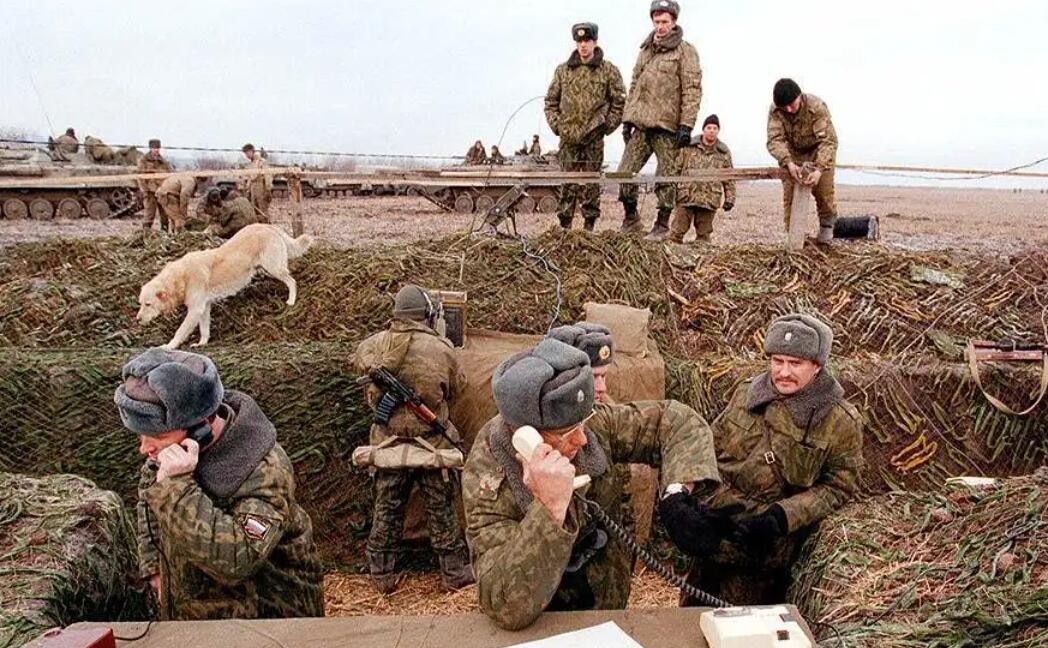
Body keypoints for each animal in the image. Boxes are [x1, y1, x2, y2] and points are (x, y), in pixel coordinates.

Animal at [136, 224, 314, 349]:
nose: (137, 320)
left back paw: (291, 301)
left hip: (273, 267)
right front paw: (202, 344)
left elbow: (180, 331)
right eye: (141, 304)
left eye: (148, 304)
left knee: (292, 281)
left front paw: (169, 346)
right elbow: (204, 329)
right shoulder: (204, 307)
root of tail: (267, 226)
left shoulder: (195, 309)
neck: (181, 278)